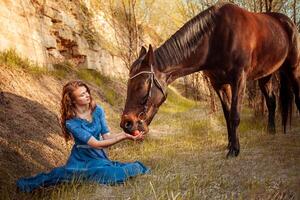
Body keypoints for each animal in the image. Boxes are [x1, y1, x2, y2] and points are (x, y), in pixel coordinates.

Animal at [119, 2, 300, 157]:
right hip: (265, 76)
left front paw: (234, 150)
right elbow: (227, 115)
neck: (215, 36)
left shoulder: (238, 80)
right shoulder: (219, 85)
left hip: (293, 69)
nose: (126, 124)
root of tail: (288, 23)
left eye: (141, 85)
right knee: (271, 101)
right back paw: (271, 131)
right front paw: (230, 144)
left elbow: (234, 115)